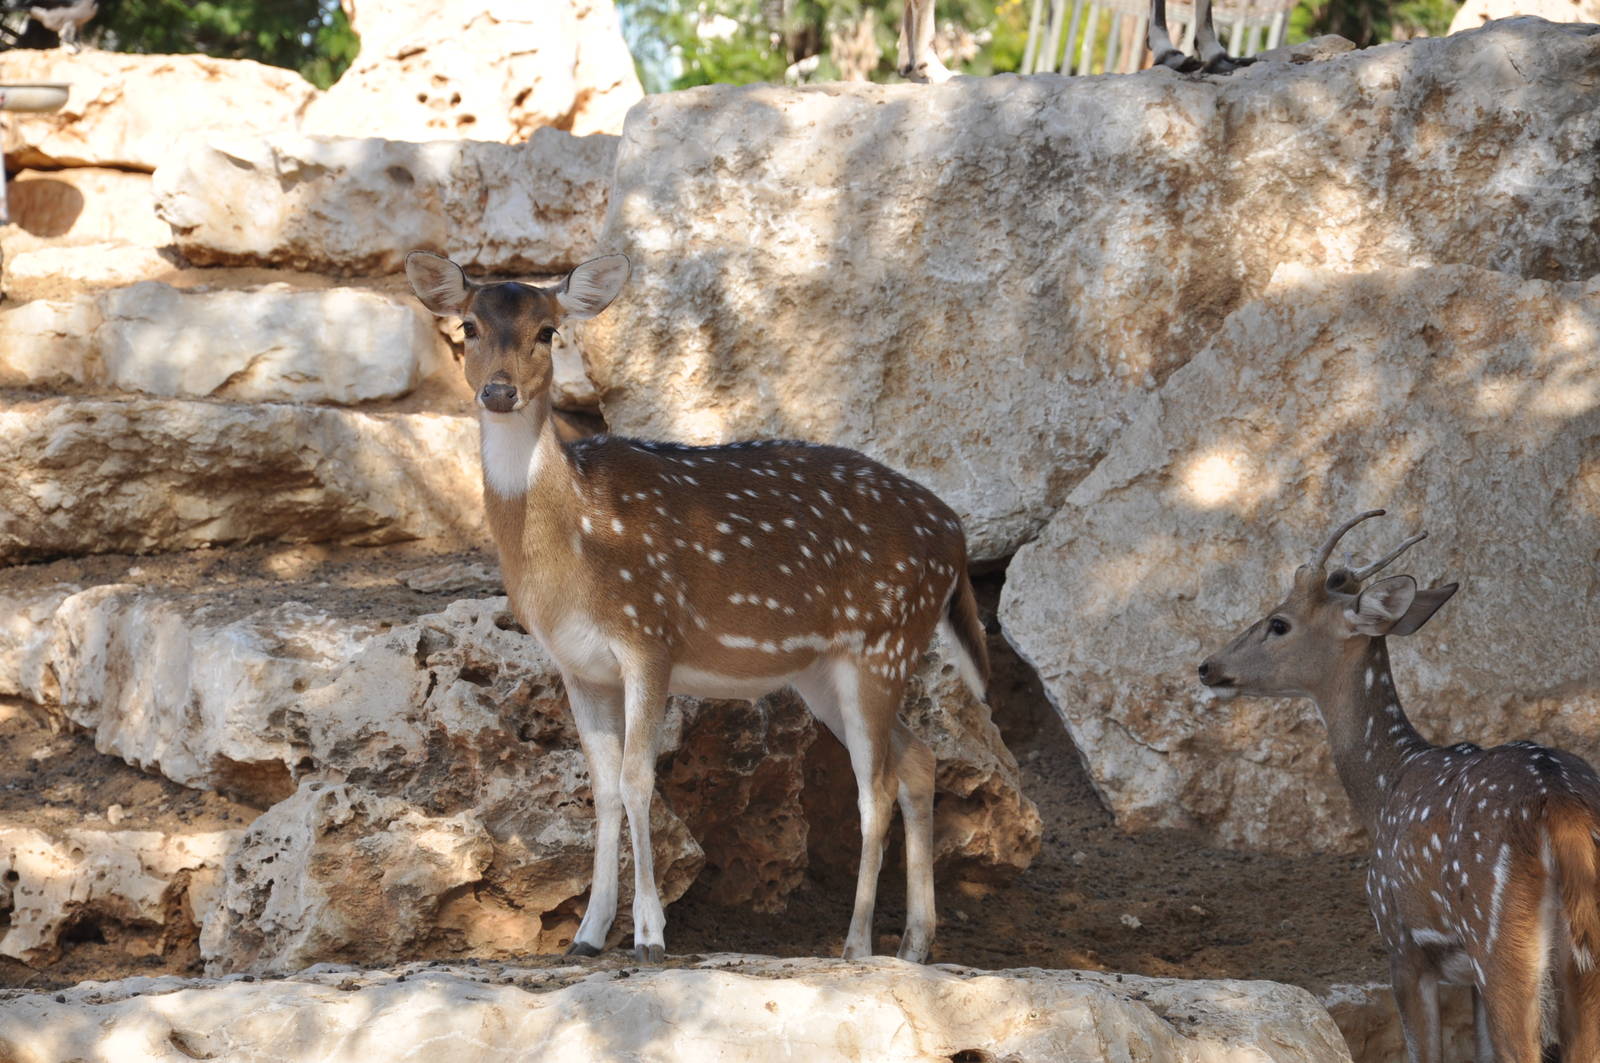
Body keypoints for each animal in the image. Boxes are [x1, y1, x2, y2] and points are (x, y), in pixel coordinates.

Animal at [404, 250, 990, 964]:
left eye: (549, 331)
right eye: (468, 327)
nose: (498, 391)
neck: (572, 550)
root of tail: (956, 536)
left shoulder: (649, 634)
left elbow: (638, 780)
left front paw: (650, 936)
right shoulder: (576, 666)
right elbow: (599, 788)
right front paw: (587, 935)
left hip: (883, 639)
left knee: (874, 785)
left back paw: (855, 944)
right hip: (825, 671)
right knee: (918, 758)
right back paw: (914, 944)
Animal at [1197, 510, 1600, 1063]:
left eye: (1279, 622)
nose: (1207, 666)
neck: (1384, 790)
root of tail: (1560, 807)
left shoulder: (1401, 942)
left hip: (1500, 938)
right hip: (1583, 953)